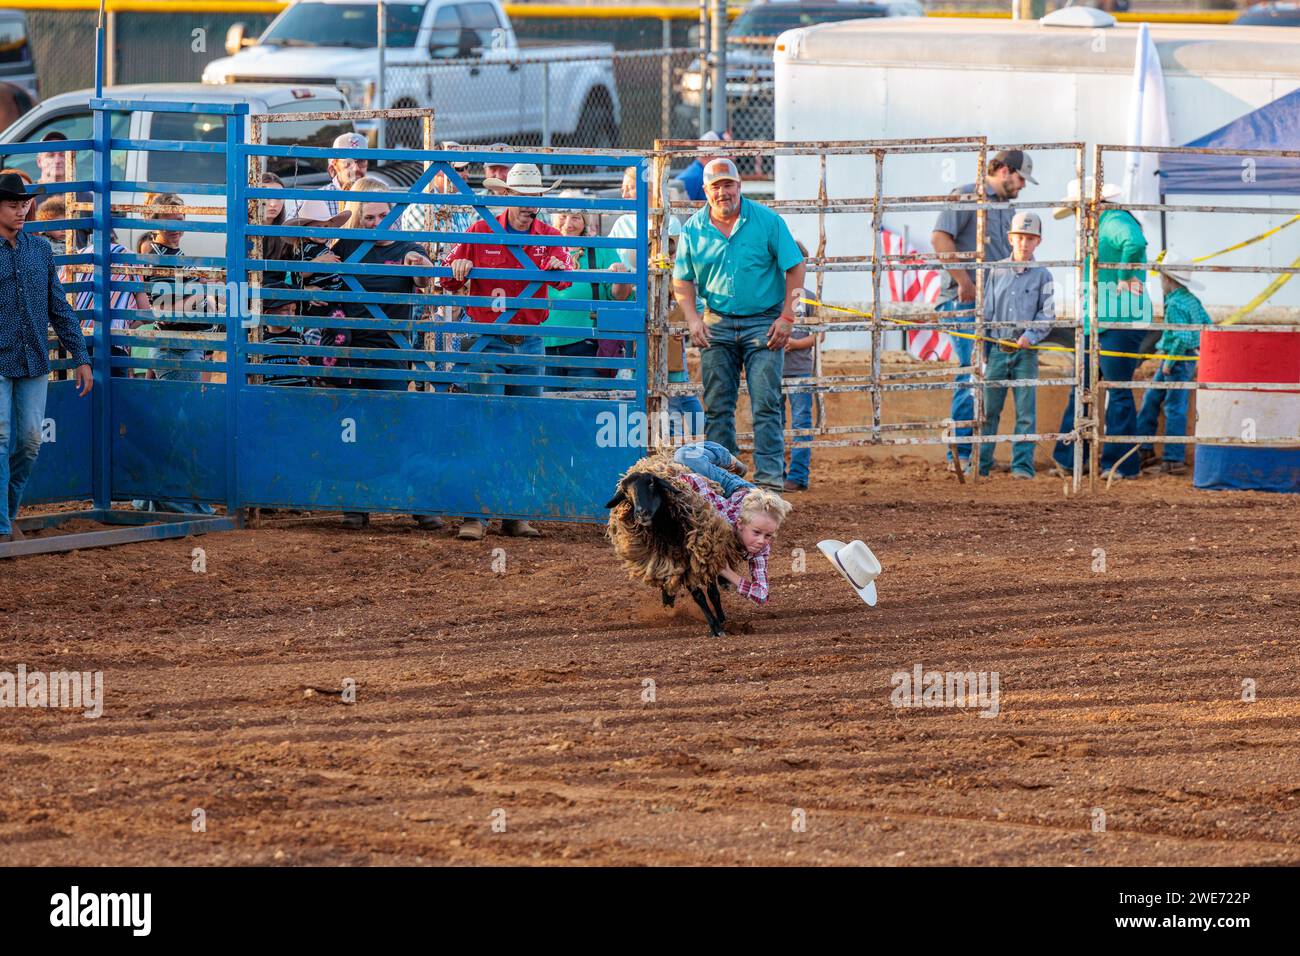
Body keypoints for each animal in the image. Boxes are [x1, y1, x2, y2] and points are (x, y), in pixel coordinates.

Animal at [603, 452, 748, 639]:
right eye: (626, 492)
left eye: (651, 483)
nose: (641, 513)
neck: (668, 529)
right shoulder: (682, 565)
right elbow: (699, 596)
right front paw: (714, 627)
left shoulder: (703, 555)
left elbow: (713, 593)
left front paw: (722, 620)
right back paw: (668, 598)